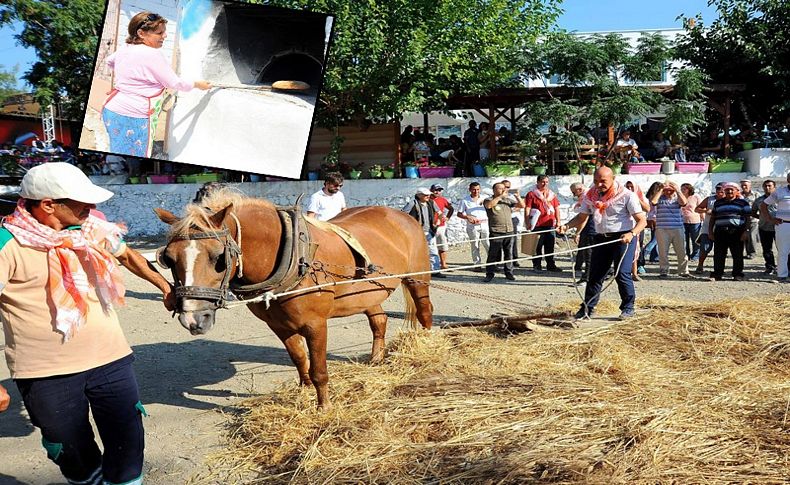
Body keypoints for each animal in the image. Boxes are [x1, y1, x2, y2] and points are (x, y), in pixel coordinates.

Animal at [154, 189, 434, 408]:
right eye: (168, 258)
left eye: (219, 258)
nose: (193, 319)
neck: (294, 257)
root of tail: (402, 215)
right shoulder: (279, 325)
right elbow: (300, 358)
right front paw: (305, 390)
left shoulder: (316, 324)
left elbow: (319, 368)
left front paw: (324, 407)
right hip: (366, 293)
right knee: (379, 320)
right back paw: (376, 358)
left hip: (418, 279)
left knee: (424, 311)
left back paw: (427, 347)